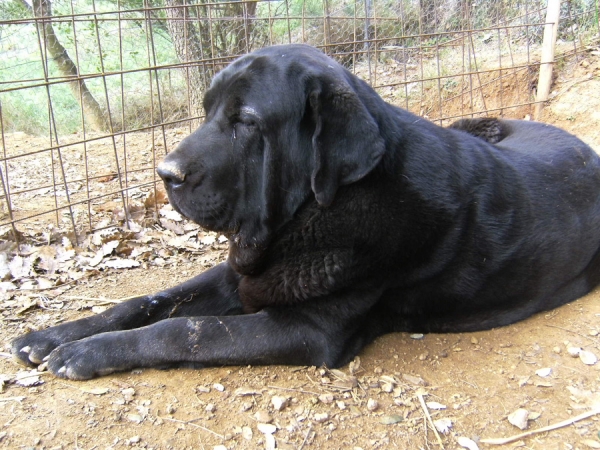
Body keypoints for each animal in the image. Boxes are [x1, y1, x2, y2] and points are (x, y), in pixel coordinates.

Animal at [11, 44, 600, 380]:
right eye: (208, 110)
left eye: (247, 122)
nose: (166, 173)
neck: (312, 213)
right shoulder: (239, 274)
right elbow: (150, 301)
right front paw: (53, 336)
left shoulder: (310, 327)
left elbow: (184, 329)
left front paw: (88, 353)